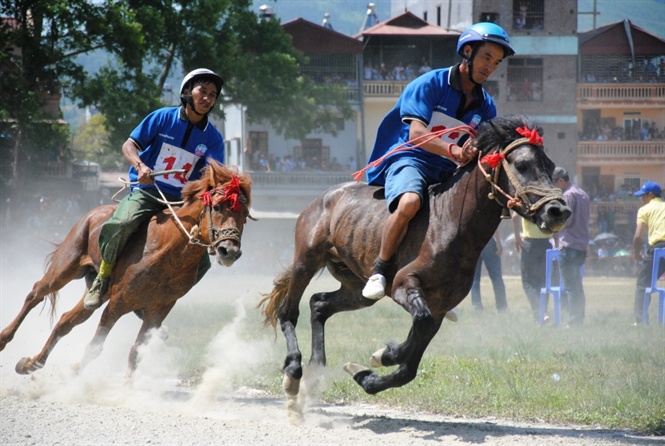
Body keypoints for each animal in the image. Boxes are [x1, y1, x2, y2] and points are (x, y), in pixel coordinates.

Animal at [0, 160, 252, 376]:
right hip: (65, 268)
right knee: (36, 293)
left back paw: (31, 364)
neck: (167, 253)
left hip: (96, 292)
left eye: (244, 214)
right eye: (217, 207)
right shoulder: (119, 302)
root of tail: (93, 214)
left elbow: (136, 351)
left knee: (65, 321)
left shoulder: (159, 309)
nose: (229, 251)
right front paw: (72, 374)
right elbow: (95, 346)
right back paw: (4, 338)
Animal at [260, 116, 572, 418]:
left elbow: (409, 366)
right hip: (307, 259)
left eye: (550, 166)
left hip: (356, 287)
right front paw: (385, 354)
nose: (559, 211)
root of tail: (323, 198)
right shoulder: (404, 286)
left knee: (319, 304)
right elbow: (417, 326)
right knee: (289, 311)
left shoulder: (439, 306)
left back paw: (316, 367)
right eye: (522, 165)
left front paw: (368, 370)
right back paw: (294, 372)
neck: (451, 223)